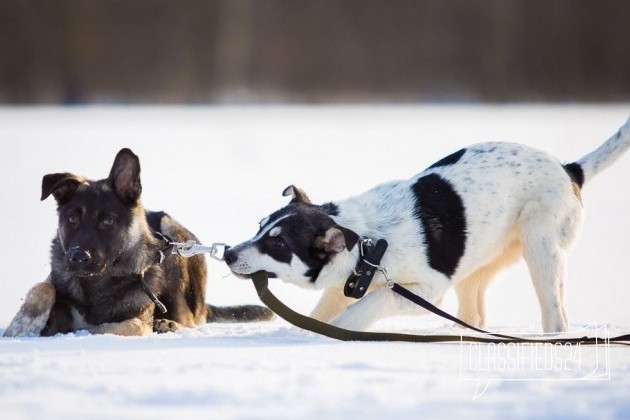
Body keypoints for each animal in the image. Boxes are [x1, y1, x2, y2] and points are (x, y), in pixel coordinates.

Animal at [3, 149, 274, 336]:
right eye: (72, 219)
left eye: (108, 221)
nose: (78, 258)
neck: (97, 282)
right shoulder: (56, 280)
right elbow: (43, 288)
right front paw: (21, 326)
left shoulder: (139, 316)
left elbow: (125, 325)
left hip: (176, 238)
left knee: (189, 319)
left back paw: (168, 323)